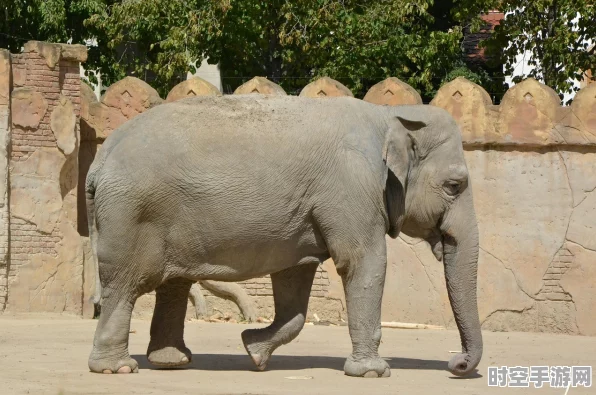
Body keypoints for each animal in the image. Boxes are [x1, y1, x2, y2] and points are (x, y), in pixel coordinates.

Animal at [86, 94, 482, 378]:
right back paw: (118, 368)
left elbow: (295, 279)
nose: (456, 365)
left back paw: (172, 361)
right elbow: (362, 262)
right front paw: (372, 373)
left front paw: (253, 350)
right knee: (124, 285)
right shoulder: (352, 187)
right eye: (454, 185)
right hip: (131, 215)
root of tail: (100, 156)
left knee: (173, 285)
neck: (391, 115)